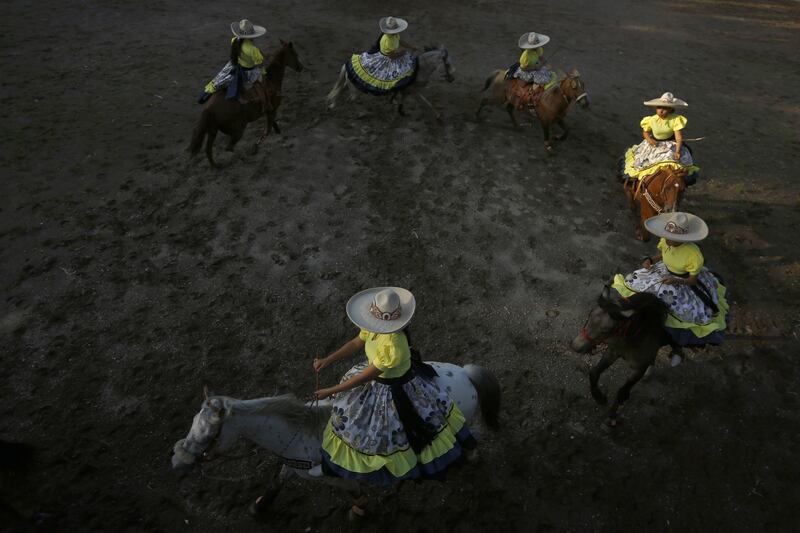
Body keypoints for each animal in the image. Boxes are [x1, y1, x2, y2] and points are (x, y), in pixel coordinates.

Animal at [173, 362, 500, 516]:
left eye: (211, 432)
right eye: (192, 423)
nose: (179, 461)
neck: (301, 432)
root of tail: (465, 373)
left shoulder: (335, 477)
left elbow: (354, 492)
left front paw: (359, 510)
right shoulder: (293, 464)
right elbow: (277, 481)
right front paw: (259, 506)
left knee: (471, 439)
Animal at [322, 46, 454, 119]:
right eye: (447, 64)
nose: (452, 79)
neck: (419, 69)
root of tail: (347, 64)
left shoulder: (405, 90)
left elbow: (402, 99)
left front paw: (400, 109)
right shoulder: (414, 90)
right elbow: (426, 102)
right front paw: (438, 115)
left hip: (351, 84)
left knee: (341, 91)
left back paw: (331, 105)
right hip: (356, 90)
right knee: (352, 99)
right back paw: (361, 114)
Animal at [568, 284, 680, 426]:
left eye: (605, 330)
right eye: (589, 316)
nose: (575, 346)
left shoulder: (638, 368)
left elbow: (623, 393)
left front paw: (612, 415)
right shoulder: (613, 352)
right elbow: (594, 373)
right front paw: (599, 397)